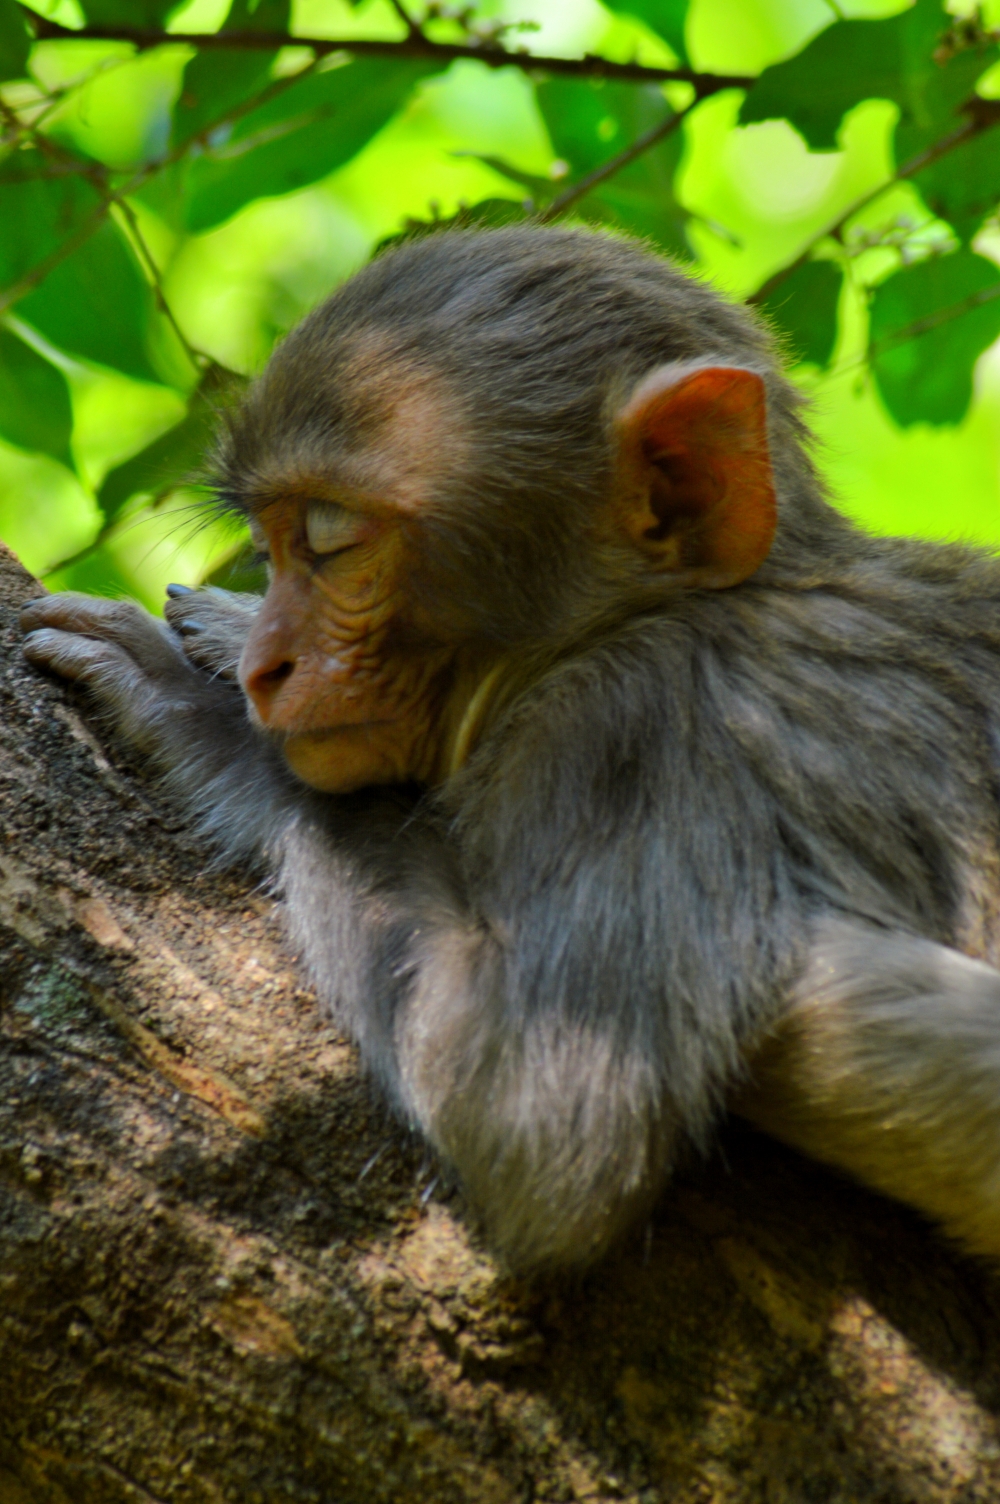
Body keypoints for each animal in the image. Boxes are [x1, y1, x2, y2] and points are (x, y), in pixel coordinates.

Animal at [20, 225, 1000, 1270]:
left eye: (331, 543)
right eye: (270, 546)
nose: (264, 668)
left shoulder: (638, 727)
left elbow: (541, 1120)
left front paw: (207, 727)